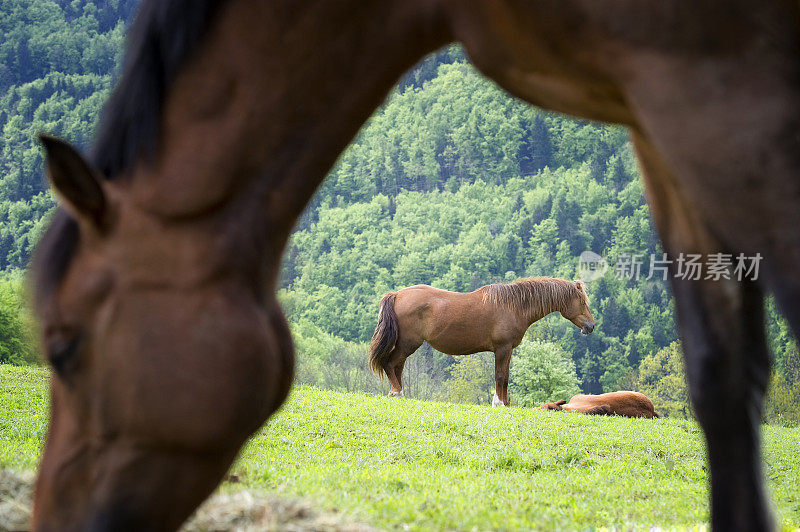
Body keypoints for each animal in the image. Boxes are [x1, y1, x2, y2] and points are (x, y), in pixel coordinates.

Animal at [368, 276, 592, 406]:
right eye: (582, 301)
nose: (590, 326)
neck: (514, 306)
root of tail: (397, 294)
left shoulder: (507, 350)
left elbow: (505, 376)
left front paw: (504, 403)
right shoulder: (503, 348)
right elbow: (501, 376)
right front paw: (499, 403)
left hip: (406, 345)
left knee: (396, 366)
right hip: (408, 343)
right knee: (390, 364)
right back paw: (397, 393)